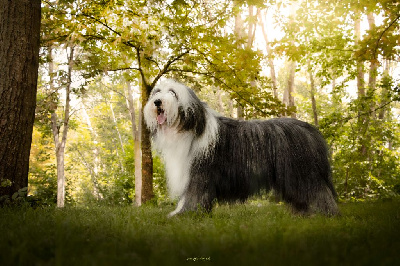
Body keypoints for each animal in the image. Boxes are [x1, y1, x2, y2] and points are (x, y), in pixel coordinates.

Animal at [144, 79, 338, 216]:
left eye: (173, 93)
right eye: (157, 92)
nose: (157, 102)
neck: (190, 127)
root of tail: (311, 130)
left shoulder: (199, 173)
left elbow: (193, 195)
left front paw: (184, 214)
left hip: (303, 172)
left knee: (319, 191)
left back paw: (326, 214)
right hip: (293, 176)